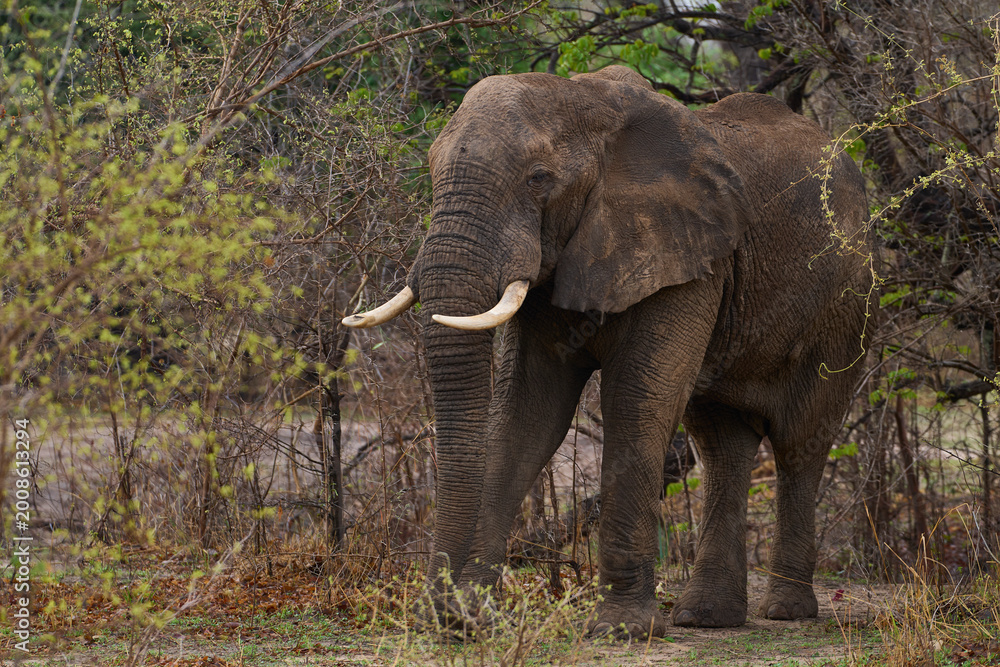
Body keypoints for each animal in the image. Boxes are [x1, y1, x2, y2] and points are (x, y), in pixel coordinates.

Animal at [344, 65, 873, 637]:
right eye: (431, 168)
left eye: (538, 179)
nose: (434, 613)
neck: (584, 97)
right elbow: (526, 416)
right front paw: (466, 617)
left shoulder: (684, 257)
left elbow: (638, 402)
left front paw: (622, 629)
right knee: (720, 442)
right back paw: (706, 618)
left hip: (845, 305)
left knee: (801, 439)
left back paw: (786, 609)